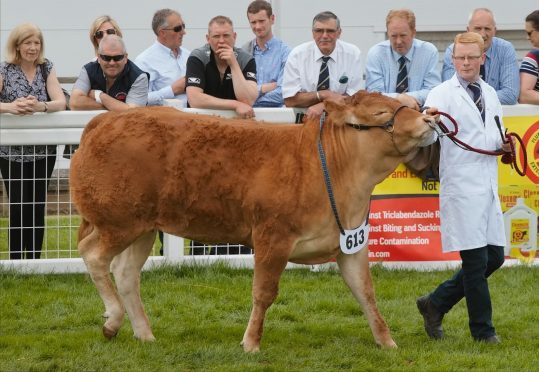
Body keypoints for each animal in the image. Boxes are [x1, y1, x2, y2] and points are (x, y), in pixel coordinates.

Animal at [69, 90, 438, 352]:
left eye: (400, 103)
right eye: (381, 114)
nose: (429, 120)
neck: (333, 168)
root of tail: (106, 122)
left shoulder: (349, 243)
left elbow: (365, 292)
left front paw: (386, 342)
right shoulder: (272, 238)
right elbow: (264, 292)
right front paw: (251, 343)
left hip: (143, 227)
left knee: (125, 274)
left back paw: (143, 334)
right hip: (118, 222)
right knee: (94, 256)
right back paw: (114, 318)